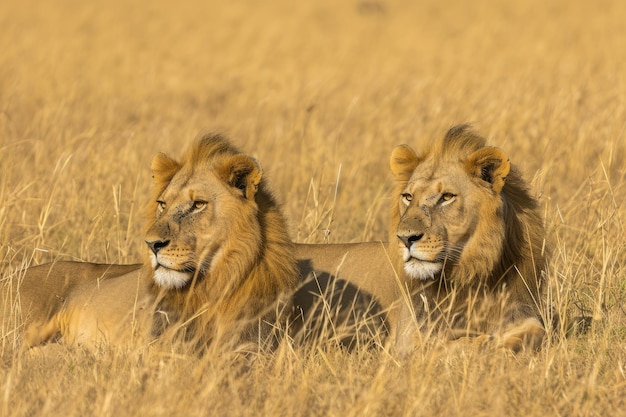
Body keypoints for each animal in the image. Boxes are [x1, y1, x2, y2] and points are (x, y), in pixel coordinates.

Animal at [388, 124, 548, 354]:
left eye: (447, 197)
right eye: (408, 197)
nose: (405, 238)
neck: (471, 270)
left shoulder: (520, 311)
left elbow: (535, 333)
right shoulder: (407, 337)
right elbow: (445, 345)